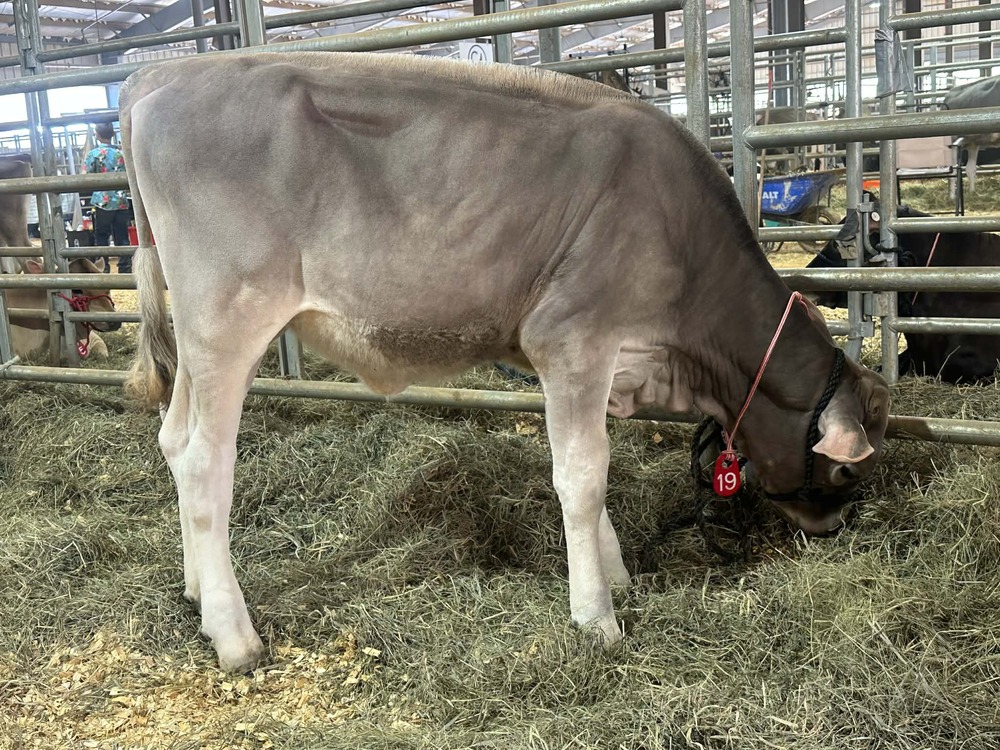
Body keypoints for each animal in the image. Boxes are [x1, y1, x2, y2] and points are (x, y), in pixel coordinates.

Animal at [120, 52, 890, 673]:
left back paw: (195, 592)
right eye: (846, 468)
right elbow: (583, 478)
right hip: (229, 317)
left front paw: (615, 572)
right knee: (204, 460)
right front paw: (597, 616)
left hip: (199, 339)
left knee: (172, 440)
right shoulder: (573, 339)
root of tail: (164, 74)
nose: (837, 526)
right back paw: (234, 636)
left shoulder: (594, 361)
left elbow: (591, 473)